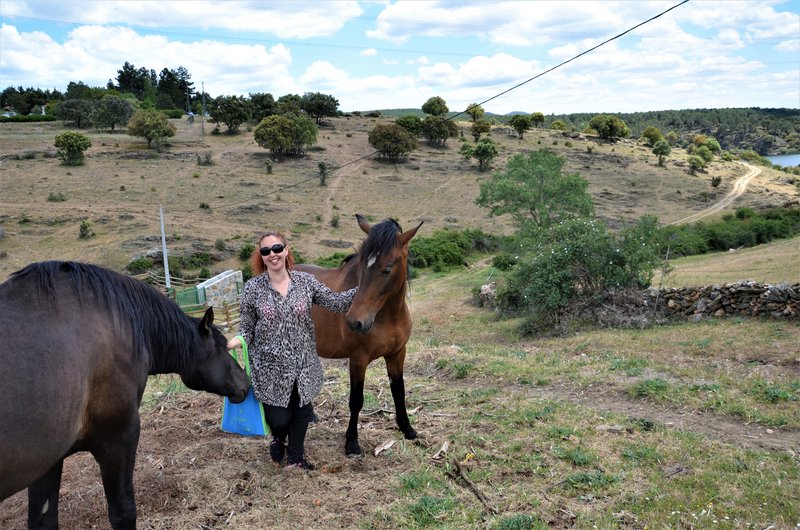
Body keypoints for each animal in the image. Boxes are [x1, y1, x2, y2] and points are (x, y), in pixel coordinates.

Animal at [0, 260, 248, 528]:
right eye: (223, 347)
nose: (245, 383)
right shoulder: (118, 439)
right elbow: (124, 512)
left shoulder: (49, 462)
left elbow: (44, 519)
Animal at [296, 213, 422, 454]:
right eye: (363, 266)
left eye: (387, 269)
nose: (355, 321)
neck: (387, 317)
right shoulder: (358, 359)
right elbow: (356, 400)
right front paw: (352, 442)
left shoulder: (397, 354)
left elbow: (398, 392)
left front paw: (408, 429)